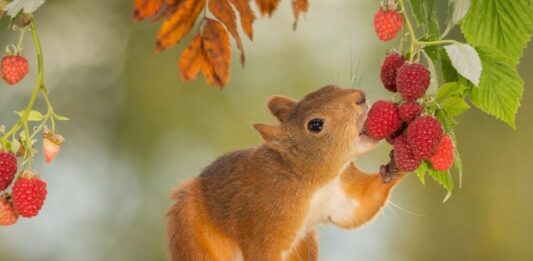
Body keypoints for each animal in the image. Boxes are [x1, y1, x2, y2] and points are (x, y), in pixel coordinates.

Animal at [166, 84, 408, 258]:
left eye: (329, 87)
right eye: (315, 125)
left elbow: (360, 207)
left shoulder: (340, 193)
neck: (312, 181)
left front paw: (396, 165)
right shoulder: (263, 222)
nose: (360, 96)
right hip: (191, 233)